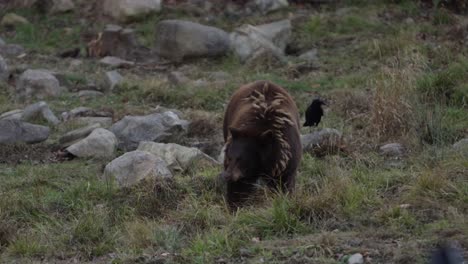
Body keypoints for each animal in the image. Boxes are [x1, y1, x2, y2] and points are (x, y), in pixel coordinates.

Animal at [221, 80, 302, 208]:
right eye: (229, 157)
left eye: (241, 159)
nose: (227, 176)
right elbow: (239, 188)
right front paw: (234, 205)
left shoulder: (287, 158)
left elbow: (285, 183)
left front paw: (284, 200)